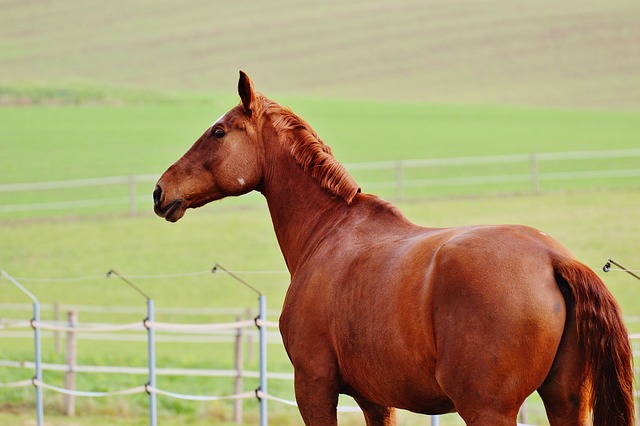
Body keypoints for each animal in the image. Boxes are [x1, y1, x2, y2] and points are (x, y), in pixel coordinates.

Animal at [154, 71, 636, 424]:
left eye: (218, 132)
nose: (160, 191)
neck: (329, 232)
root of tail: (554, 260)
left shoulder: (314, 388)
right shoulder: (375, 399)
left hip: (487, 410)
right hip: (565, 401)